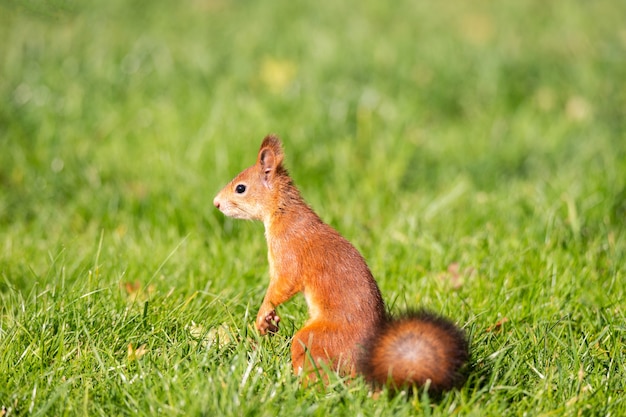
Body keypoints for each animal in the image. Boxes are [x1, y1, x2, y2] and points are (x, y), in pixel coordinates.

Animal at [212, 135, 466, 392]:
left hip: (318, 339)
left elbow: (283, 285)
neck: (283, 213)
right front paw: (270, 321)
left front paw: (262, 313)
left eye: (240, 188)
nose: (216, 203)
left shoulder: (288, 254)